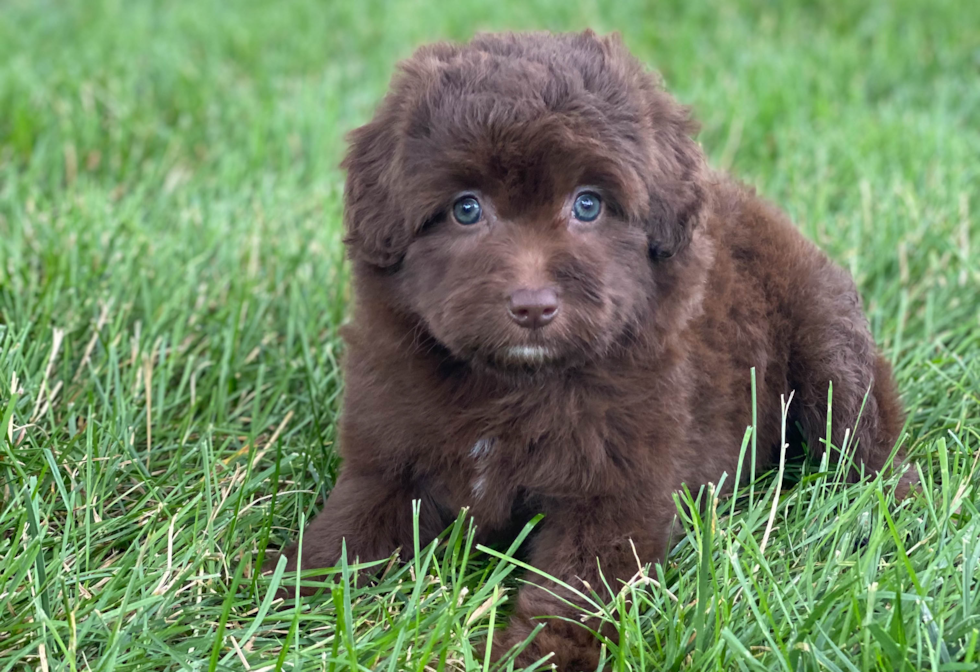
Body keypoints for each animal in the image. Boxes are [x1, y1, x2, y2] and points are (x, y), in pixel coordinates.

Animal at [282, 31, 912, 672]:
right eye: (466, 208)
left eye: (588, 205)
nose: (533, 307)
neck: (513, 386)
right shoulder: (387, 456)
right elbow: (344, 534)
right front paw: (285, 601)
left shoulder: (616, 490)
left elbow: (575, 589)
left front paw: (536, 656)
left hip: (828, 347)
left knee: (864, 437)